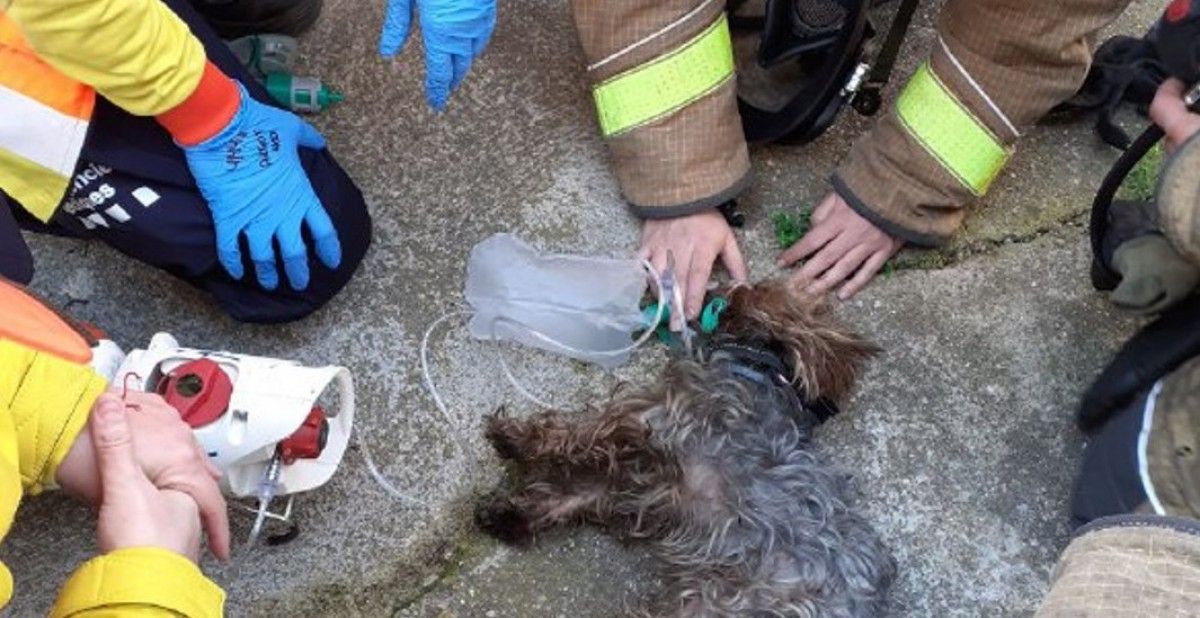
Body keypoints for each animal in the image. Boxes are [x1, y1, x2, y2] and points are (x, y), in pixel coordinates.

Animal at [472, 282, 897, 618]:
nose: (709, 290)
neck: (758, 372)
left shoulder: (650, 424)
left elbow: (577, 430)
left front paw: (514, 437)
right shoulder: (640, 488)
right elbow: (574, 495)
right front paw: (509, 514)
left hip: (715, 603)